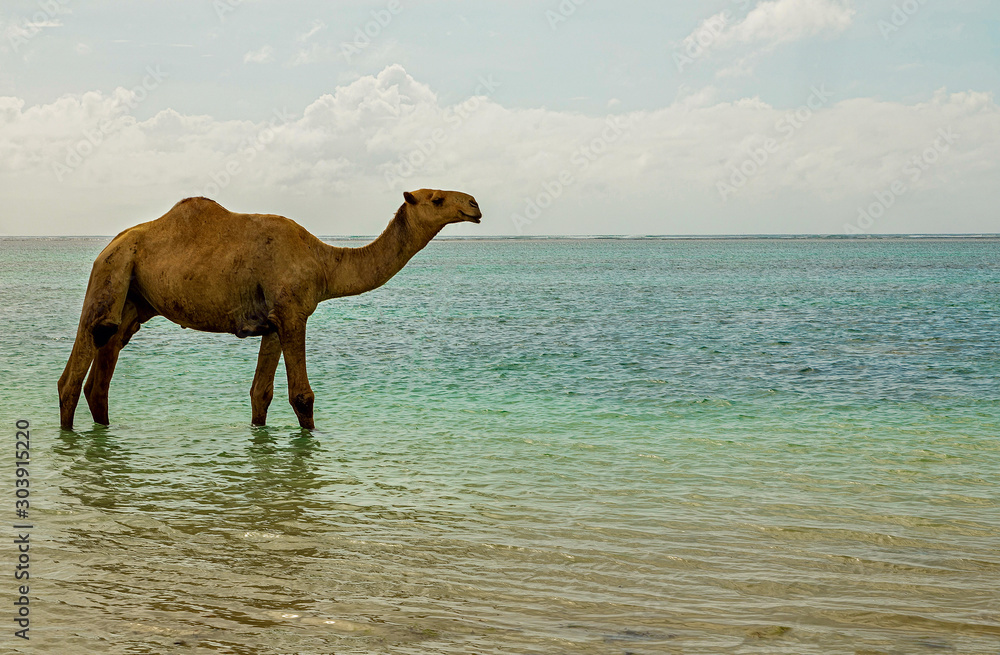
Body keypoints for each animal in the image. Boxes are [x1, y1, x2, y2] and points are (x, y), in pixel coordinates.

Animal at [58, 189, 482, 430]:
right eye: (437, 199)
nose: (475, 205)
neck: (323, 262)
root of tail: (109, 244)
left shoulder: (276, 321)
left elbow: (260, 392)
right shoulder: (293, 312)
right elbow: (302, 396)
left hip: (133, 299)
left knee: (103, 368)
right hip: (110, 272)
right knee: (79, 363)